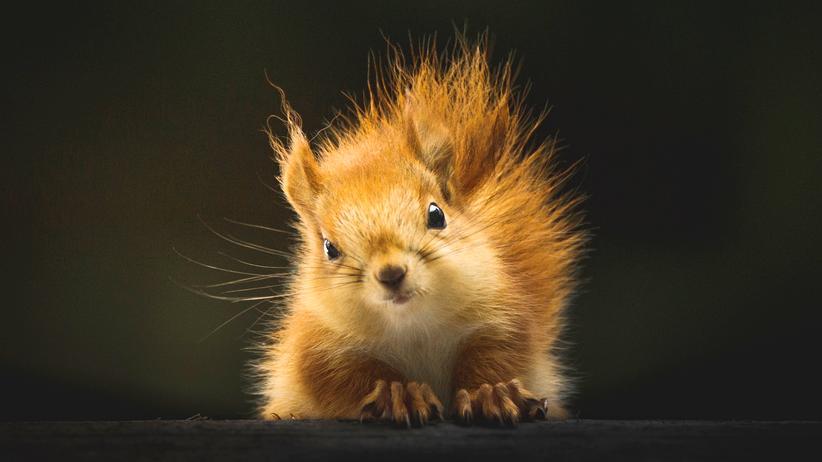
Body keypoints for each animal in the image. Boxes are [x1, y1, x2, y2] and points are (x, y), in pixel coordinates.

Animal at [255, 38, 585, 426]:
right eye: (329, 248)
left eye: (436, 215)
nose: (391, 273)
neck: (414, 327)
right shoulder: (318, 348)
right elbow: (347, 378)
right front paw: (399, 394)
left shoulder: (501, 316)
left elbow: (497, 356)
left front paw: (492, 392)